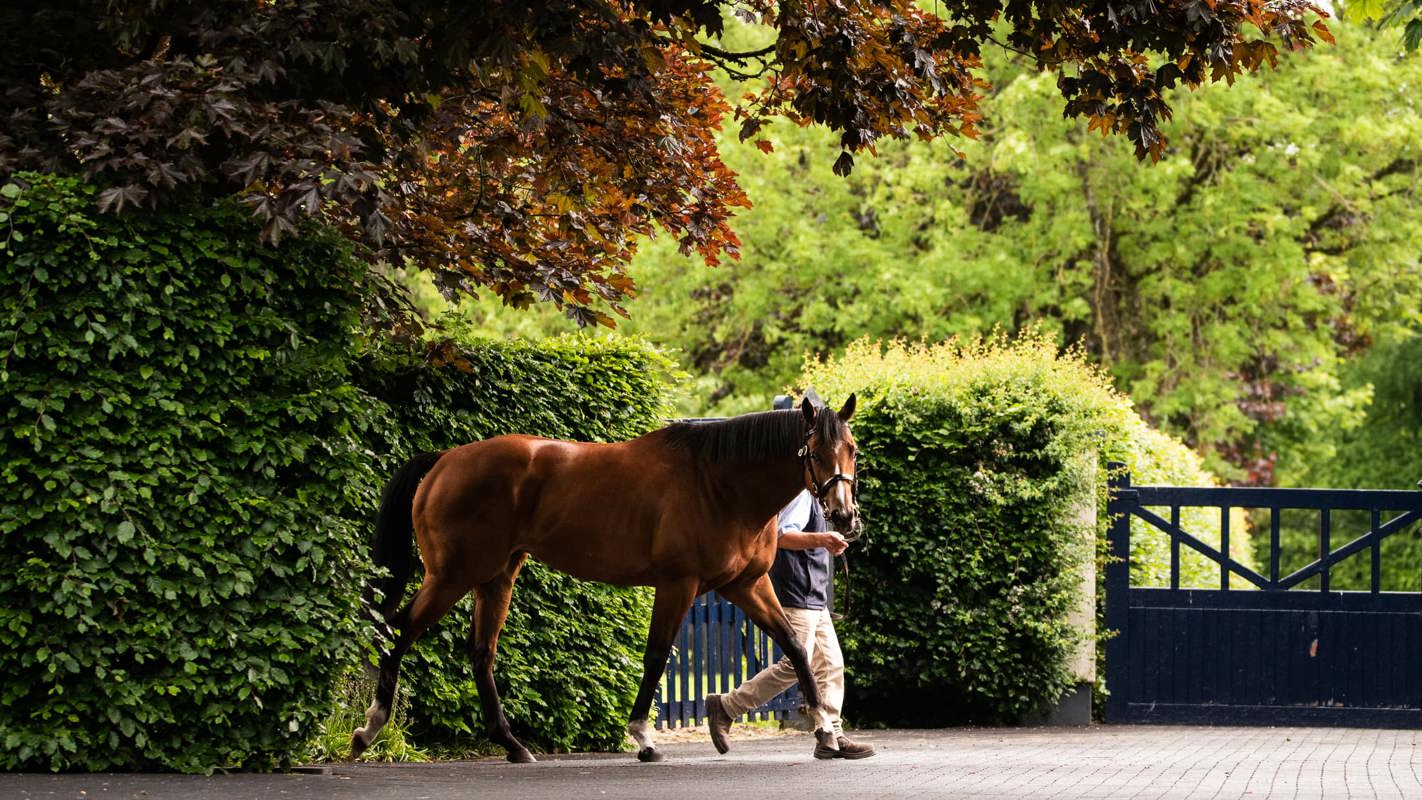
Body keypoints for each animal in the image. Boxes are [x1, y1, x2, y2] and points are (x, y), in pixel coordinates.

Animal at [349, 394, 861, 763]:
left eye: (852, 449)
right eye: (815, 451)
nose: (844, 517)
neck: (719, 483)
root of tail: (444, 460)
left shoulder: (747, 585)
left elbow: (795, 648)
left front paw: (825, 732)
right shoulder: (678, 585)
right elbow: (656, 657)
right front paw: (643, 738)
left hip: (495, 577)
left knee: (480, 653)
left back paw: (513, 745)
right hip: (451, 575)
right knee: (398, 633)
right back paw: (370, 728)